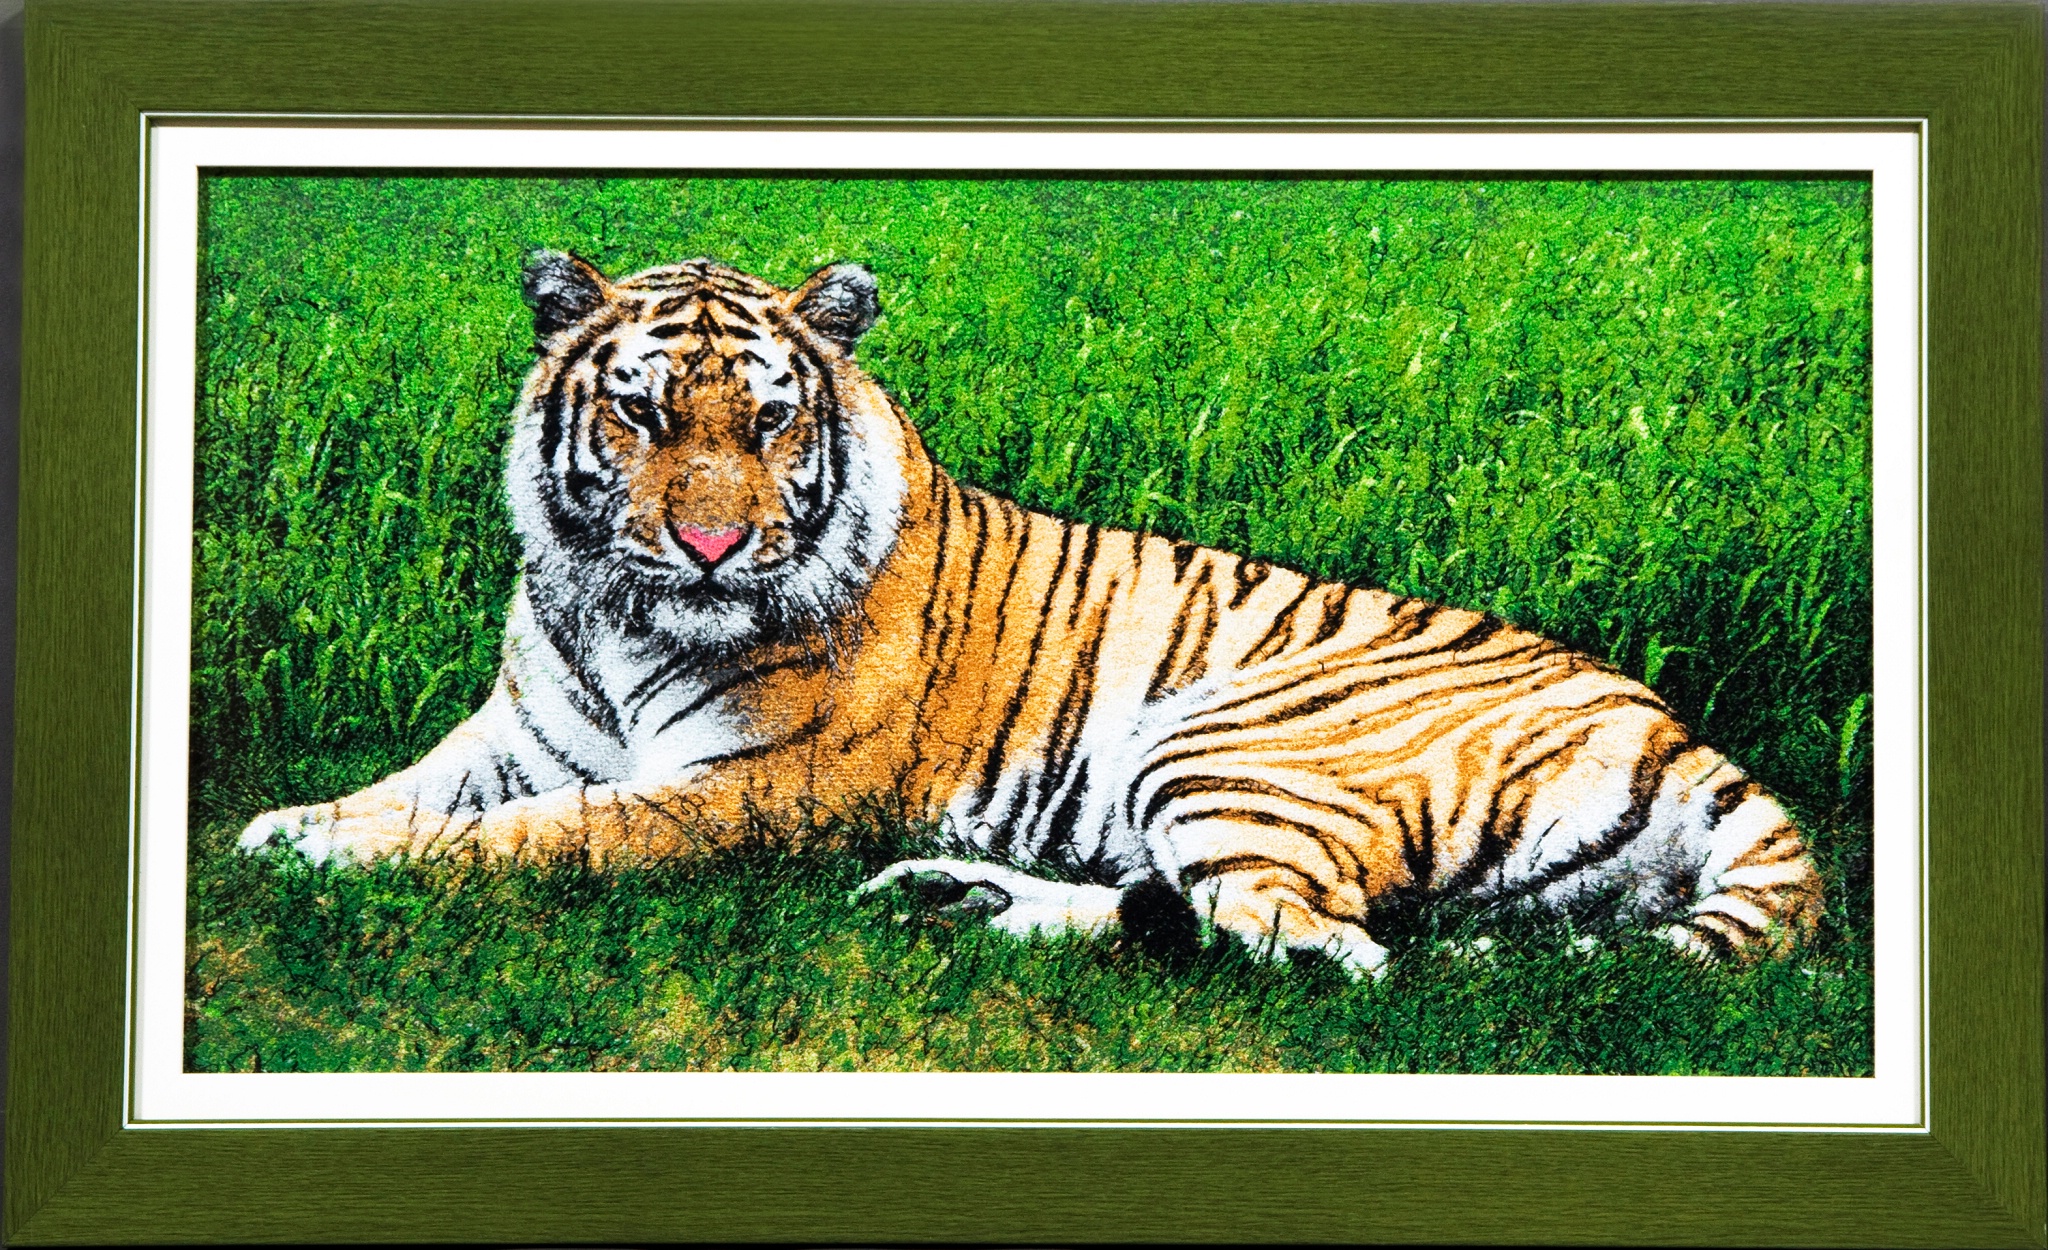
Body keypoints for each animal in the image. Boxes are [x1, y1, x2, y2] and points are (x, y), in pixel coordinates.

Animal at [239, 250, 1824, 978]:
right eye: (638, 414)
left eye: (767, 419)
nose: (709, 541)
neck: (618, 619)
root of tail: (1687, 734)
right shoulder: (521, 730)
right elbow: (415, 787)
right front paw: (292, 827)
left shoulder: (750, 783)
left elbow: (540, 833)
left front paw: (354, 864)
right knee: (1215, 914)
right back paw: (958, 894)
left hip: (1224, 743)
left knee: (1323, 947)